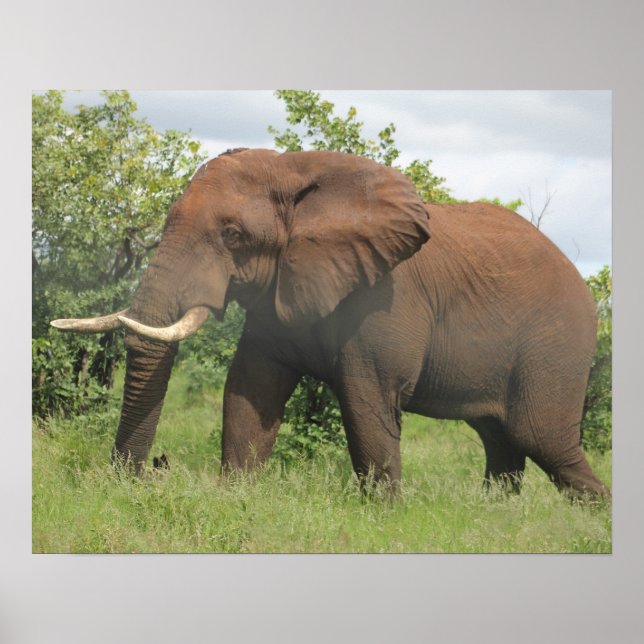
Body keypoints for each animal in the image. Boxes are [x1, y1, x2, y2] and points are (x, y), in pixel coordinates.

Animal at [52, 148, 610, 498]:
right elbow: (250, 391)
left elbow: (367, 401)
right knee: (503, 444)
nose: (153, 473)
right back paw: (495, 517)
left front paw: (384, 517)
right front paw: (234, 498)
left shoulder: (386, 296)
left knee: (543, 440)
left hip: (557, 344)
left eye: (233, 235)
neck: (294, 174)